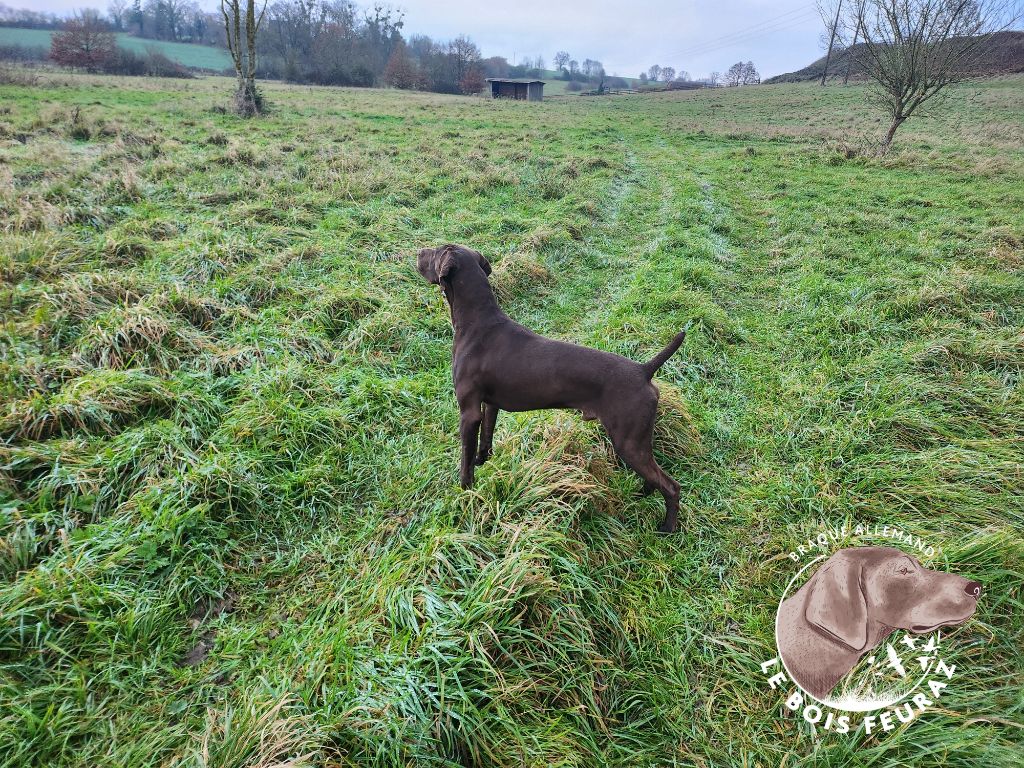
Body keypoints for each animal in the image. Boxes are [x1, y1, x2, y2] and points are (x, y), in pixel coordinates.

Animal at [415, 243, 688, 532]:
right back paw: (639, 495)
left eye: (437, 251)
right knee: (654, 478)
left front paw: (465, 492)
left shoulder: (468, 412)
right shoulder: (489, 405)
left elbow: (465, 459)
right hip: (640, 440)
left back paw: (667, 528)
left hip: (628, 442)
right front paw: (484, 462)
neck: (477, 323)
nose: (418, 251)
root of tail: (643, 371)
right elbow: (485, 440)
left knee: (671, 486)